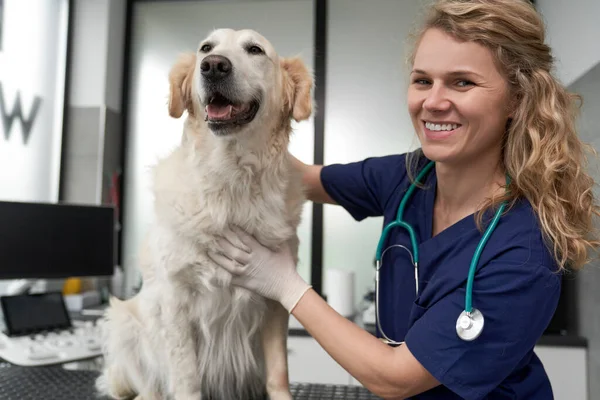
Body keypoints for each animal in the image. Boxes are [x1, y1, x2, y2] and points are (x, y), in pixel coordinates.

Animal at [96, 28, 312, 400]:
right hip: (123, 321)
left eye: (255, 50)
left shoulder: (275, 301)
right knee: (143, 385)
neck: (231, 181)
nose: (213, 66)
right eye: (205, 48)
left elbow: (278, 371)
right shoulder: (176, 300)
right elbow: (186, 376)